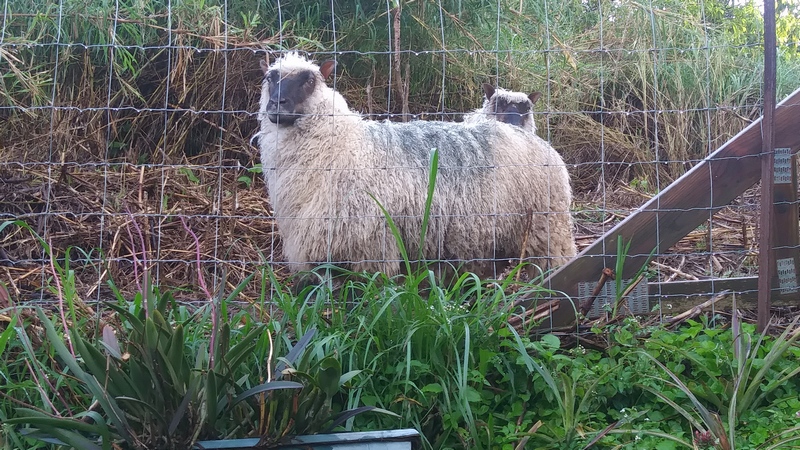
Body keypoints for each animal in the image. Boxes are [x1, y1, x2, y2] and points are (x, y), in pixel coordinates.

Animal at [256, 51, 576, 278]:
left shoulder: (374, 244)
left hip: (547, 226)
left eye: (309, 80)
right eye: (270, 78)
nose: (277, 105)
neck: (345, 146)